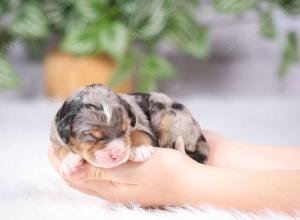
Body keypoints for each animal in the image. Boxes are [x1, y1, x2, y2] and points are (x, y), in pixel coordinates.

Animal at [49, 83, 209, 174]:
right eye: (93, 136)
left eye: (125, 129)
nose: (118, 153)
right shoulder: (55, 135)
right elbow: (61, 148)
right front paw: (69, 160)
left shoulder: (143, 126)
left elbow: (138, 132)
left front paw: (139, 150)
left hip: (171, 120)